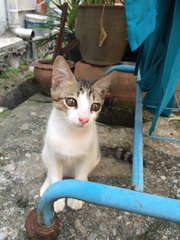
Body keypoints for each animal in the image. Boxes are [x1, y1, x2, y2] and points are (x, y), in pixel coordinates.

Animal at [40, 54, 114, 212]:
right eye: (71, 101)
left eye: (95, 106)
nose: (84, 119)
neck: (71, 133)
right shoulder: (53, 156)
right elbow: (55, 176)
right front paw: (56, 201)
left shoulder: (87, 156)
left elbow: (80, 175)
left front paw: (76, 198)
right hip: (45, 152)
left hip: (95, 156)